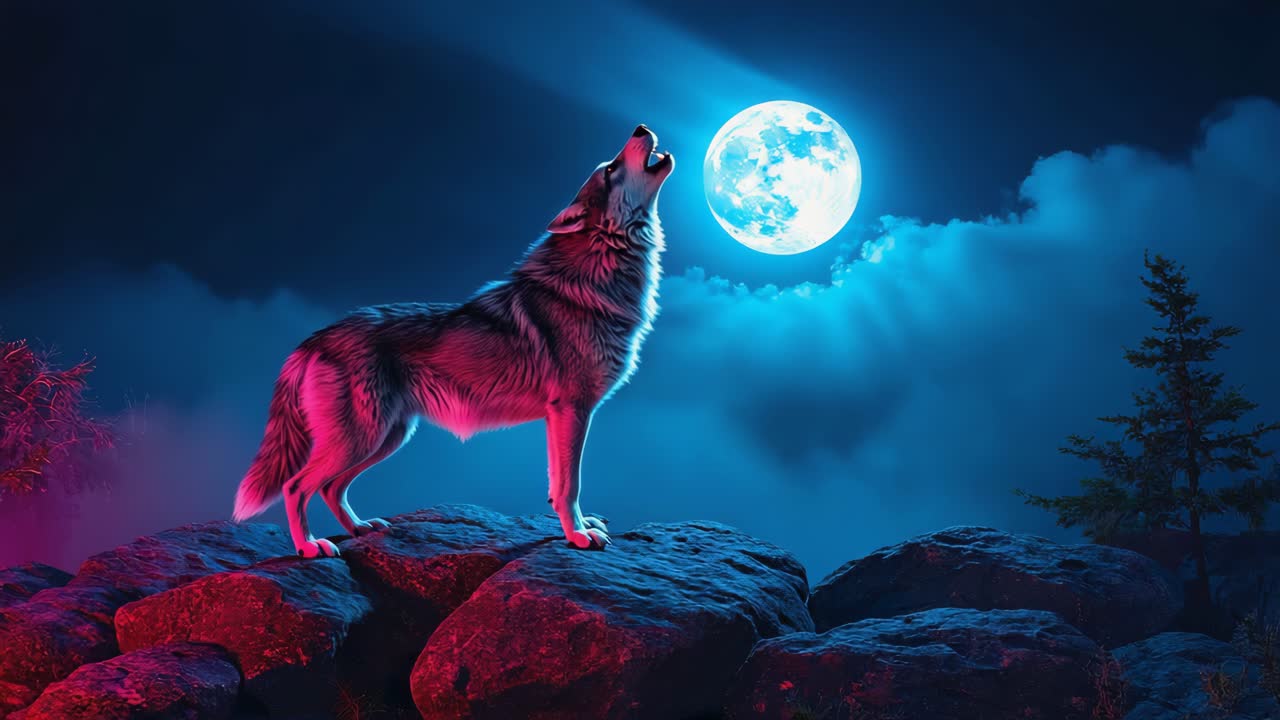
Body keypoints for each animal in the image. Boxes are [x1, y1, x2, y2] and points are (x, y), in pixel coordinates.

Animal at [232, 126, 673, 558]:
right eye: (611, 169)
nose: (641, 127)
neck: (596, 275)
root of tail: (313, 339)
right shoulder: (572, 409)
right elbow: (570, 484)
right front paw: (578, 535)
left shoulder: (559, 416)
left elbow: (558, 483)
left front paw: (578, 526)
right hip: (363, 438)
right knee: (296, 485)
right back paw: (309, 546)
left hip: (387, 437)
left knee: (330, 486)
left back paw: (359, 528)